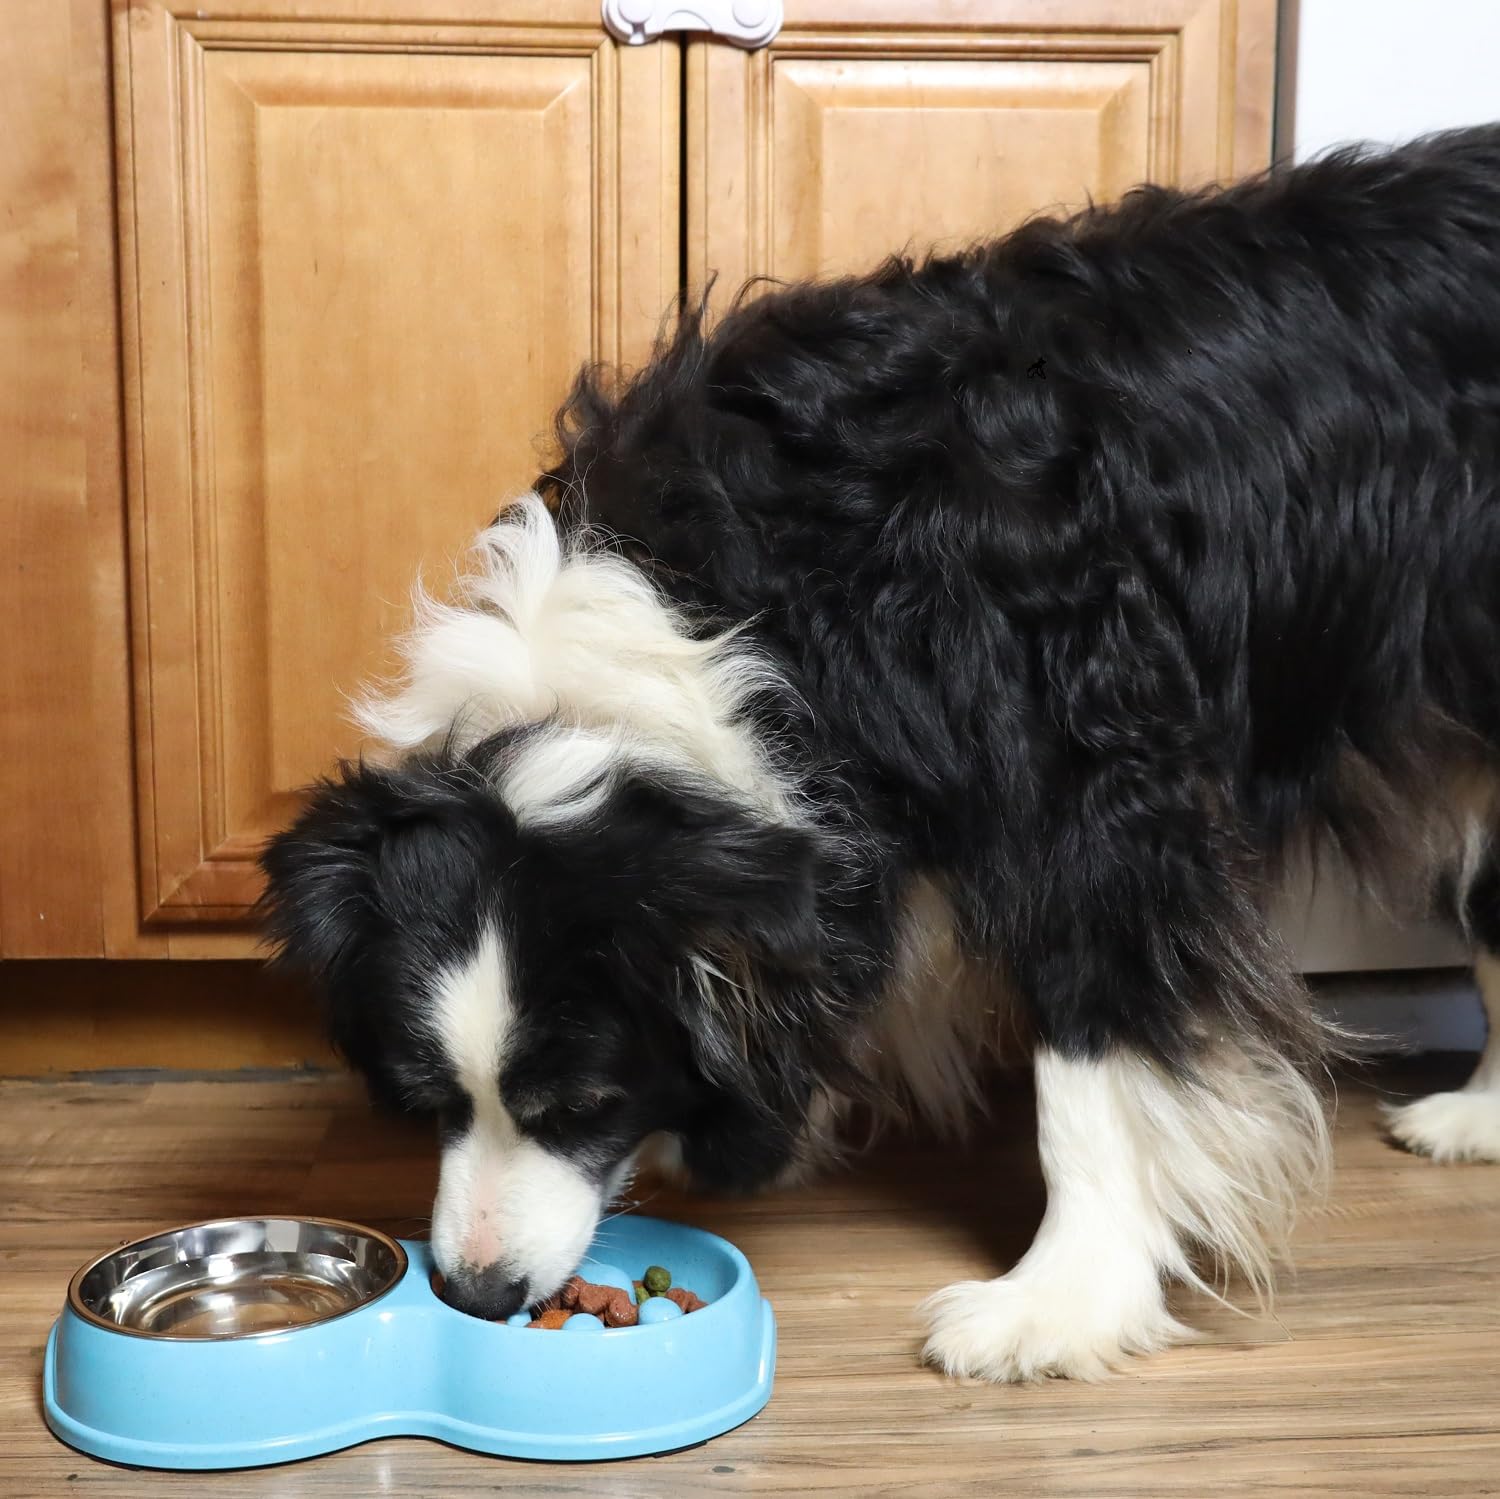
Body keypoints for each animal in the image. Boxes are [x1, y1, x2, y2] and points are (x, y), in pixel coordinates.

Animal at [264, 129, 1500, 1380]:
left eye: (580, 1099)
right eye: (426, 1093)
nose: (475, 1289)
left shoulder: (1070, 748)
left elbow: (1090, 1025)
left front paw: (1050, 1304)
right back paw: (1476, 1117)